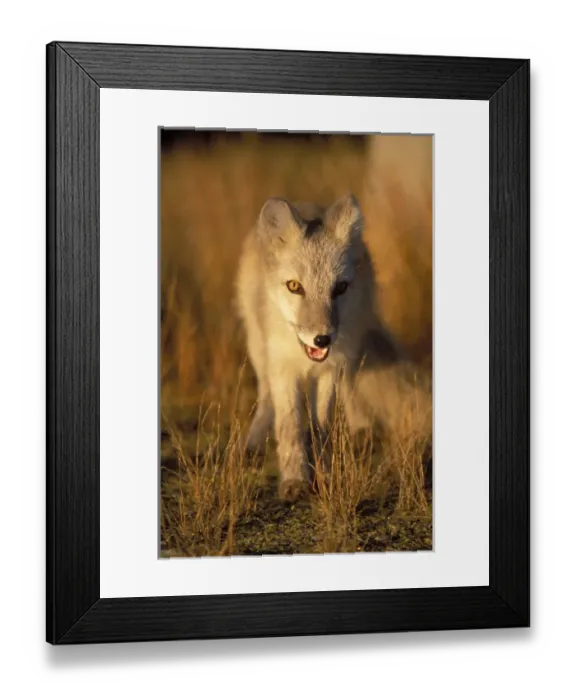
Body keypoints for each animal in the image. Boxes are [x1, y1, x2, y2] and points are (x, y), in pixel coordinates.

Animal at [235, 193, 429, 502]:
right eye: (294, 286)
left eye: (339, 288)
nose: (322, 339)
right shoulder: (282, 368)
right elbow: (290, 426)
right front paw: (295, 479)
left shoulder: (330, 369)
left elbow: (321, 427)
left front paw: (324, 475)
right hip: (258, 348)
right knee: (265, 397)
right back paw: (252, 443)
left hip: (349, 352)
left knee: (350, 387)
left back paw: (360, 428)